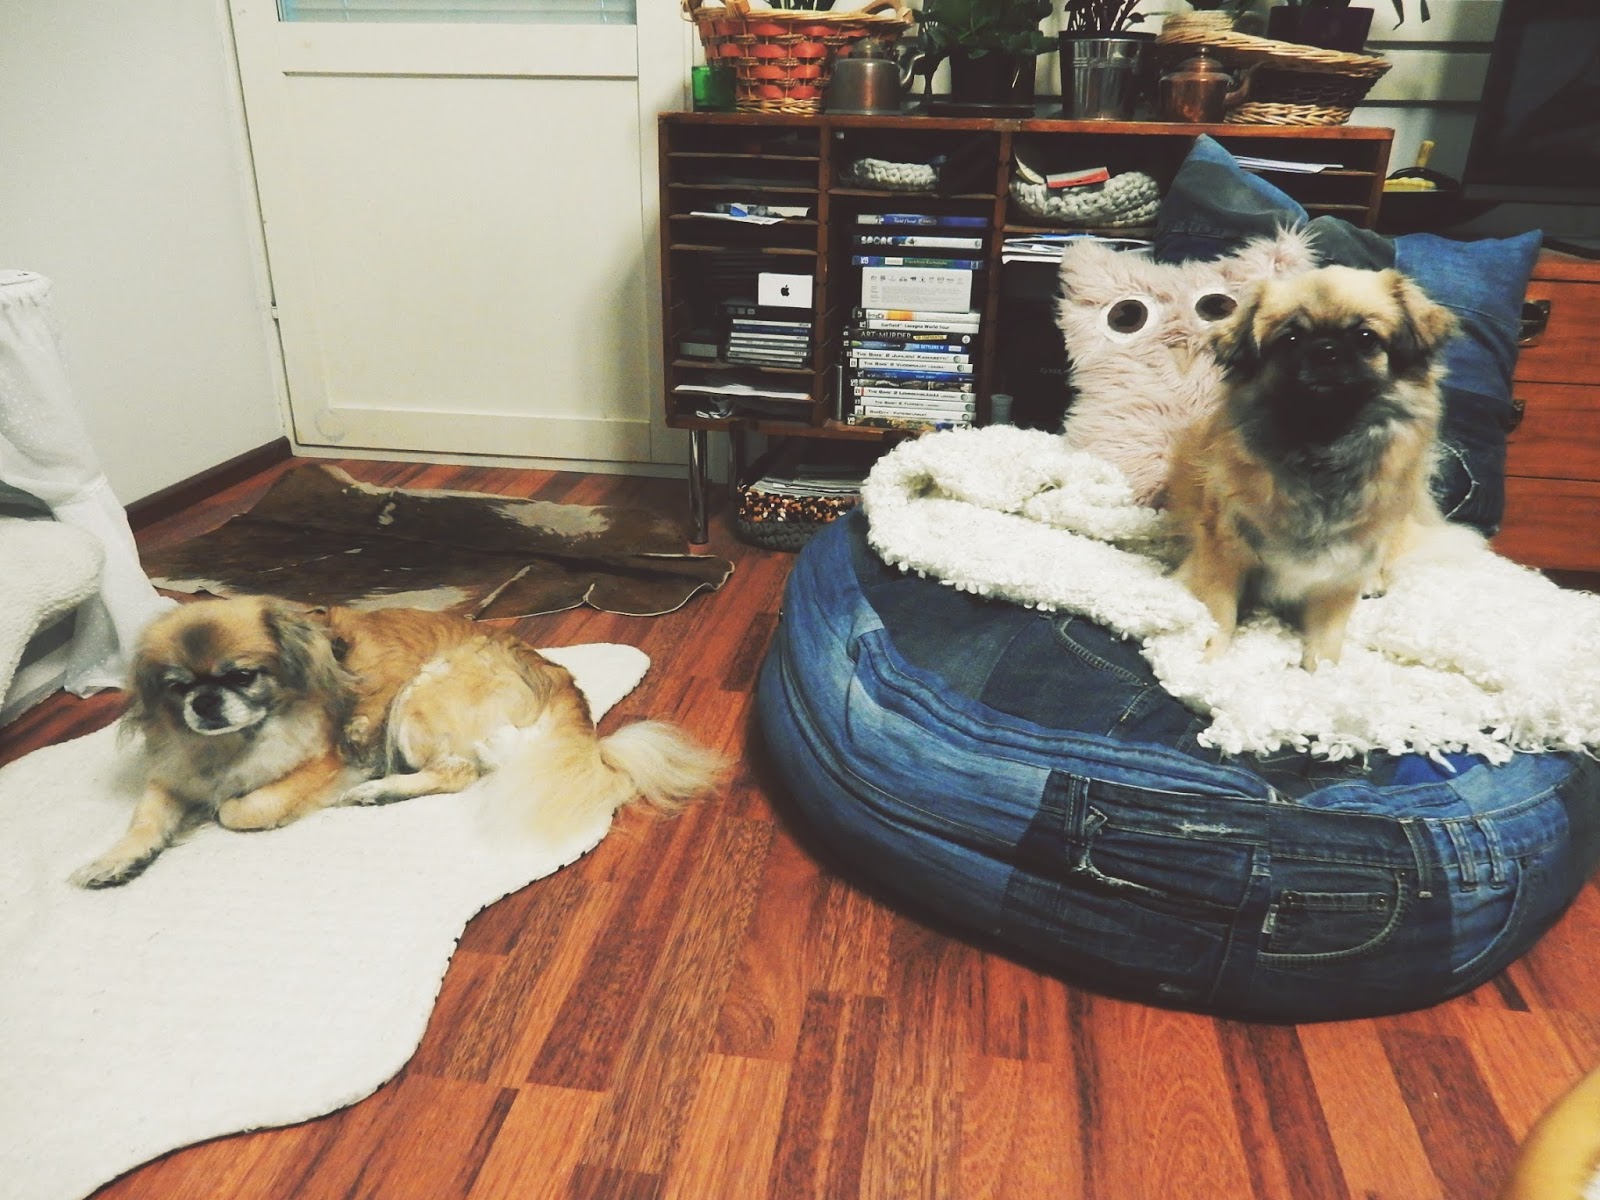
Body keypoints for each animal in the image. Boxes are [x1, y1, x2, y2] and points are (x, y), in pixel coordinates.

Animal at [71, 596, 725, 887]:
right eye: (177, 687)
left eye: (241, 676)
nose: (205, 704)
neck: (232, 745)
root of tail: (563, 689)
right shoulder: (171, 776)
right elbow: (146, 819)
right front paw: (117, 860)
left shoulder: (323, 764)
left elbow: (240, 809)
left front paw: (220, 813)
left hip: (418, 695)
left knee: (457, 773)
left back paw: (377, 791)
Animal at [1165, 264, 1463, 671]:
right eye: (1290, 338)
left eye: (1366, 338)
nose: (1326, 350)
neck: (1321, 449)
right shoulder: (1223, 549)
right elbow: (1219, 612)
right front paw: (1209, 657)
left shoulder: (1342, 573)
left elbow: (1327, 641)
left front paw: (1321, 675)